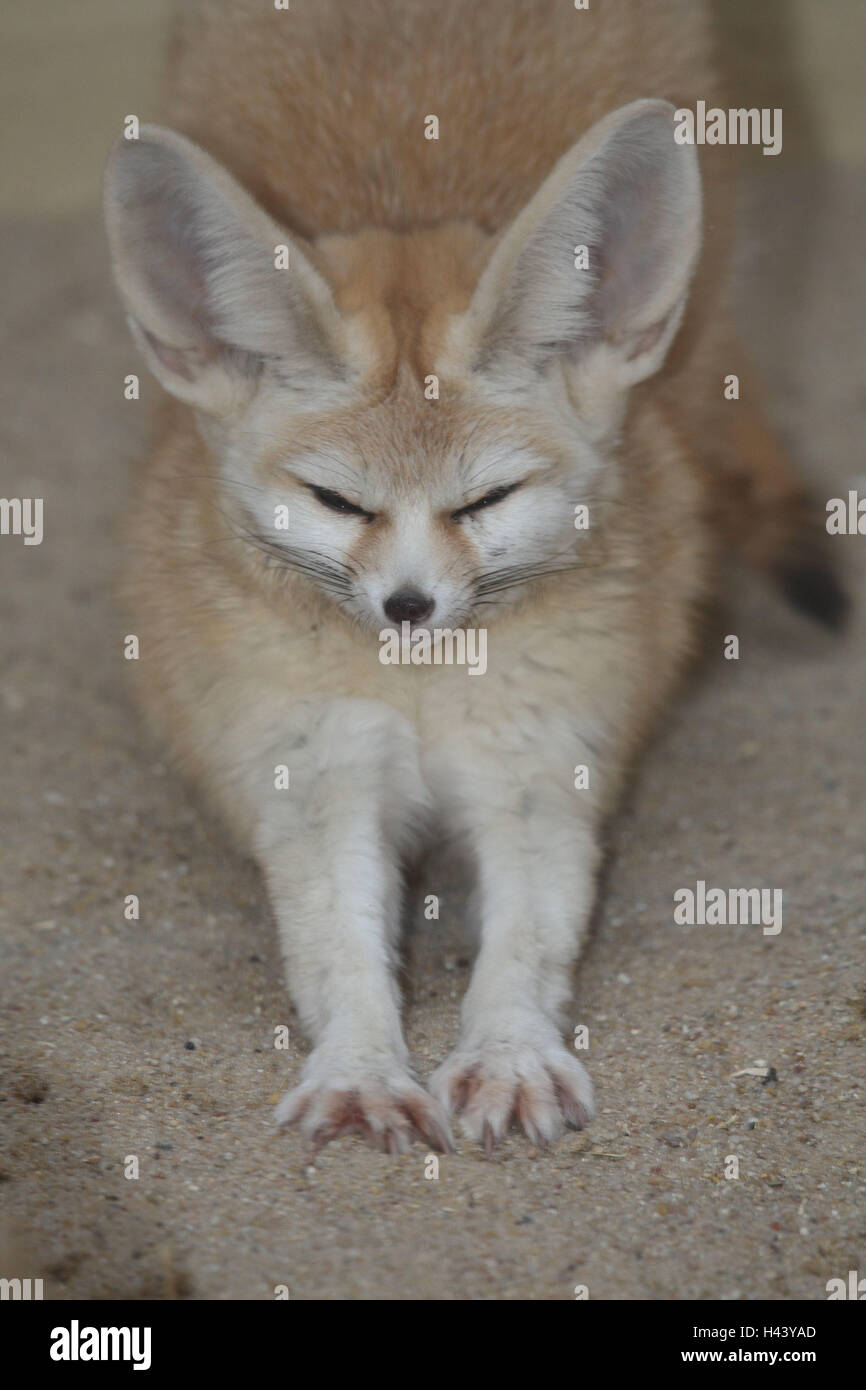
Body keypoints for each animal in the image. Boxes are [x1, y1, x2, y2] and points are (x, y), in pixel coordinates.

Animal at [101, 0, 839, 1150]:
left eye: (485, 500)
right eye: (337, 502)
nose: (408, 605)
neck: (424, 688)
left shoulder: (539, 769)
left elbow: (529, 942)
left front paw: (508, 1055)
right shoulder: (310, 774)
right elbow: (338, 951)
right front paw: (361, 1070)